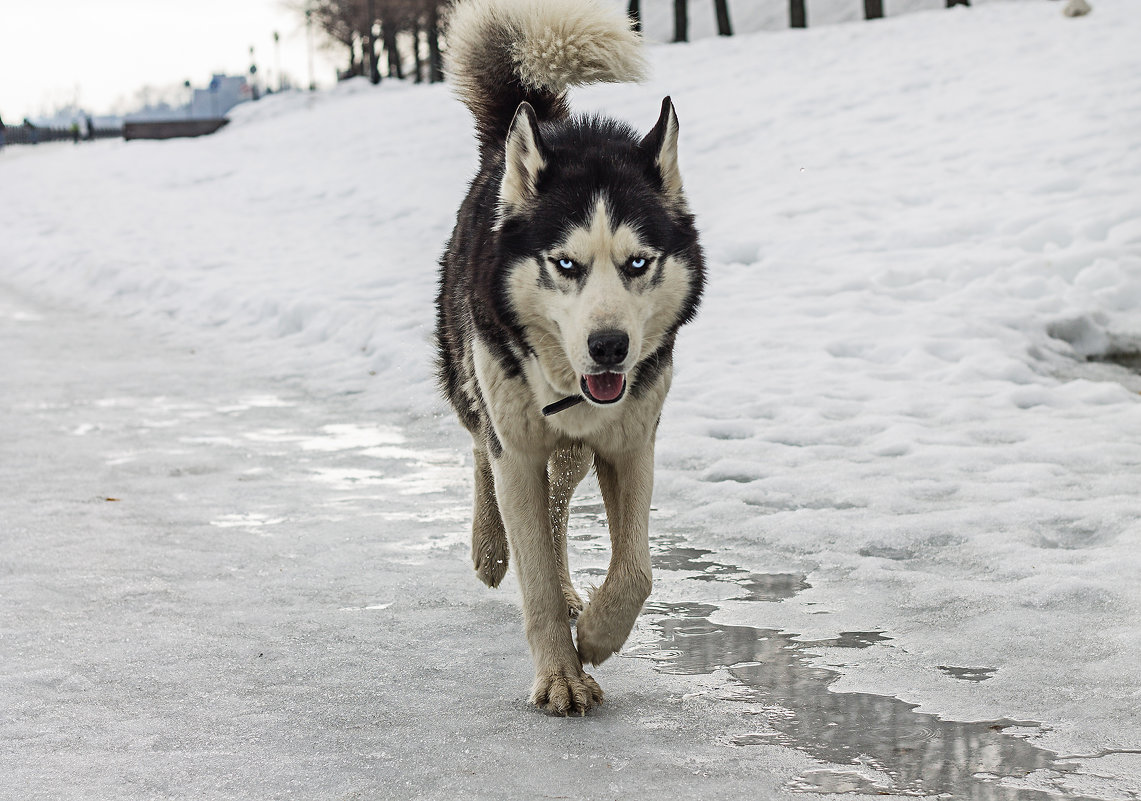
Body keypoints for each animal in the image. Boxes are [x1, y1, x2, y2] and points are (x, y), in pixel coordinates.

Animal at [435, 0, 702, 716]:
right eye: (566, 264)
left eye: (637, 263)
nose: (609, 347)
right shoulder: (518, 450)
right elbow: (533, 574)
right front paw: (560, 673)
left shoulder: (631, 442)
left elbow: (636, 570)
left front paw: (598, 636)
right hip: (473, 381)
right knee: (482, 447)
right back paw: (489, 548)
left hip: (577, 449)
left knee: (559, 500)